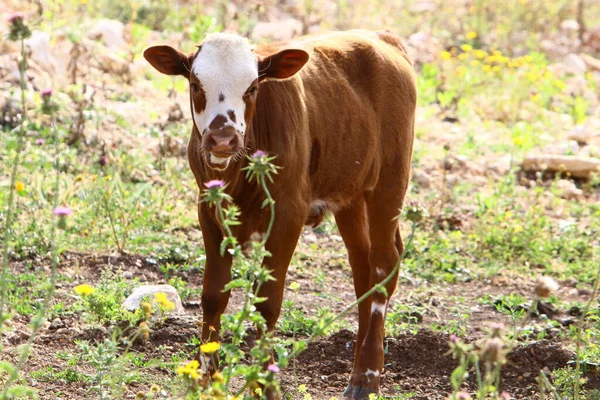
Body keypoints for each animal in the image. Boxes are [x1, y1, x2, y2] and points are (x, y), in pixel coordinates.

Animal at [145, 29, 418, 398]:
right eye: (196, 84)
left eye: (252, 88)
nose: (222, 139)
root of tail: (380, 36)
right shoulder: (208, 208)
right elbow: (213, 296)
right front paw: (206, 378)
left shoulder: (289, 212)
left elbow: (267, 303)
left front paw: (265, 384)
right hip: (350, 194)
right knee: (363, 267)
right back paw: (358, 372)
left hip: (389, 181)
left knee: (383, 265)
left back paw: (367, 378)